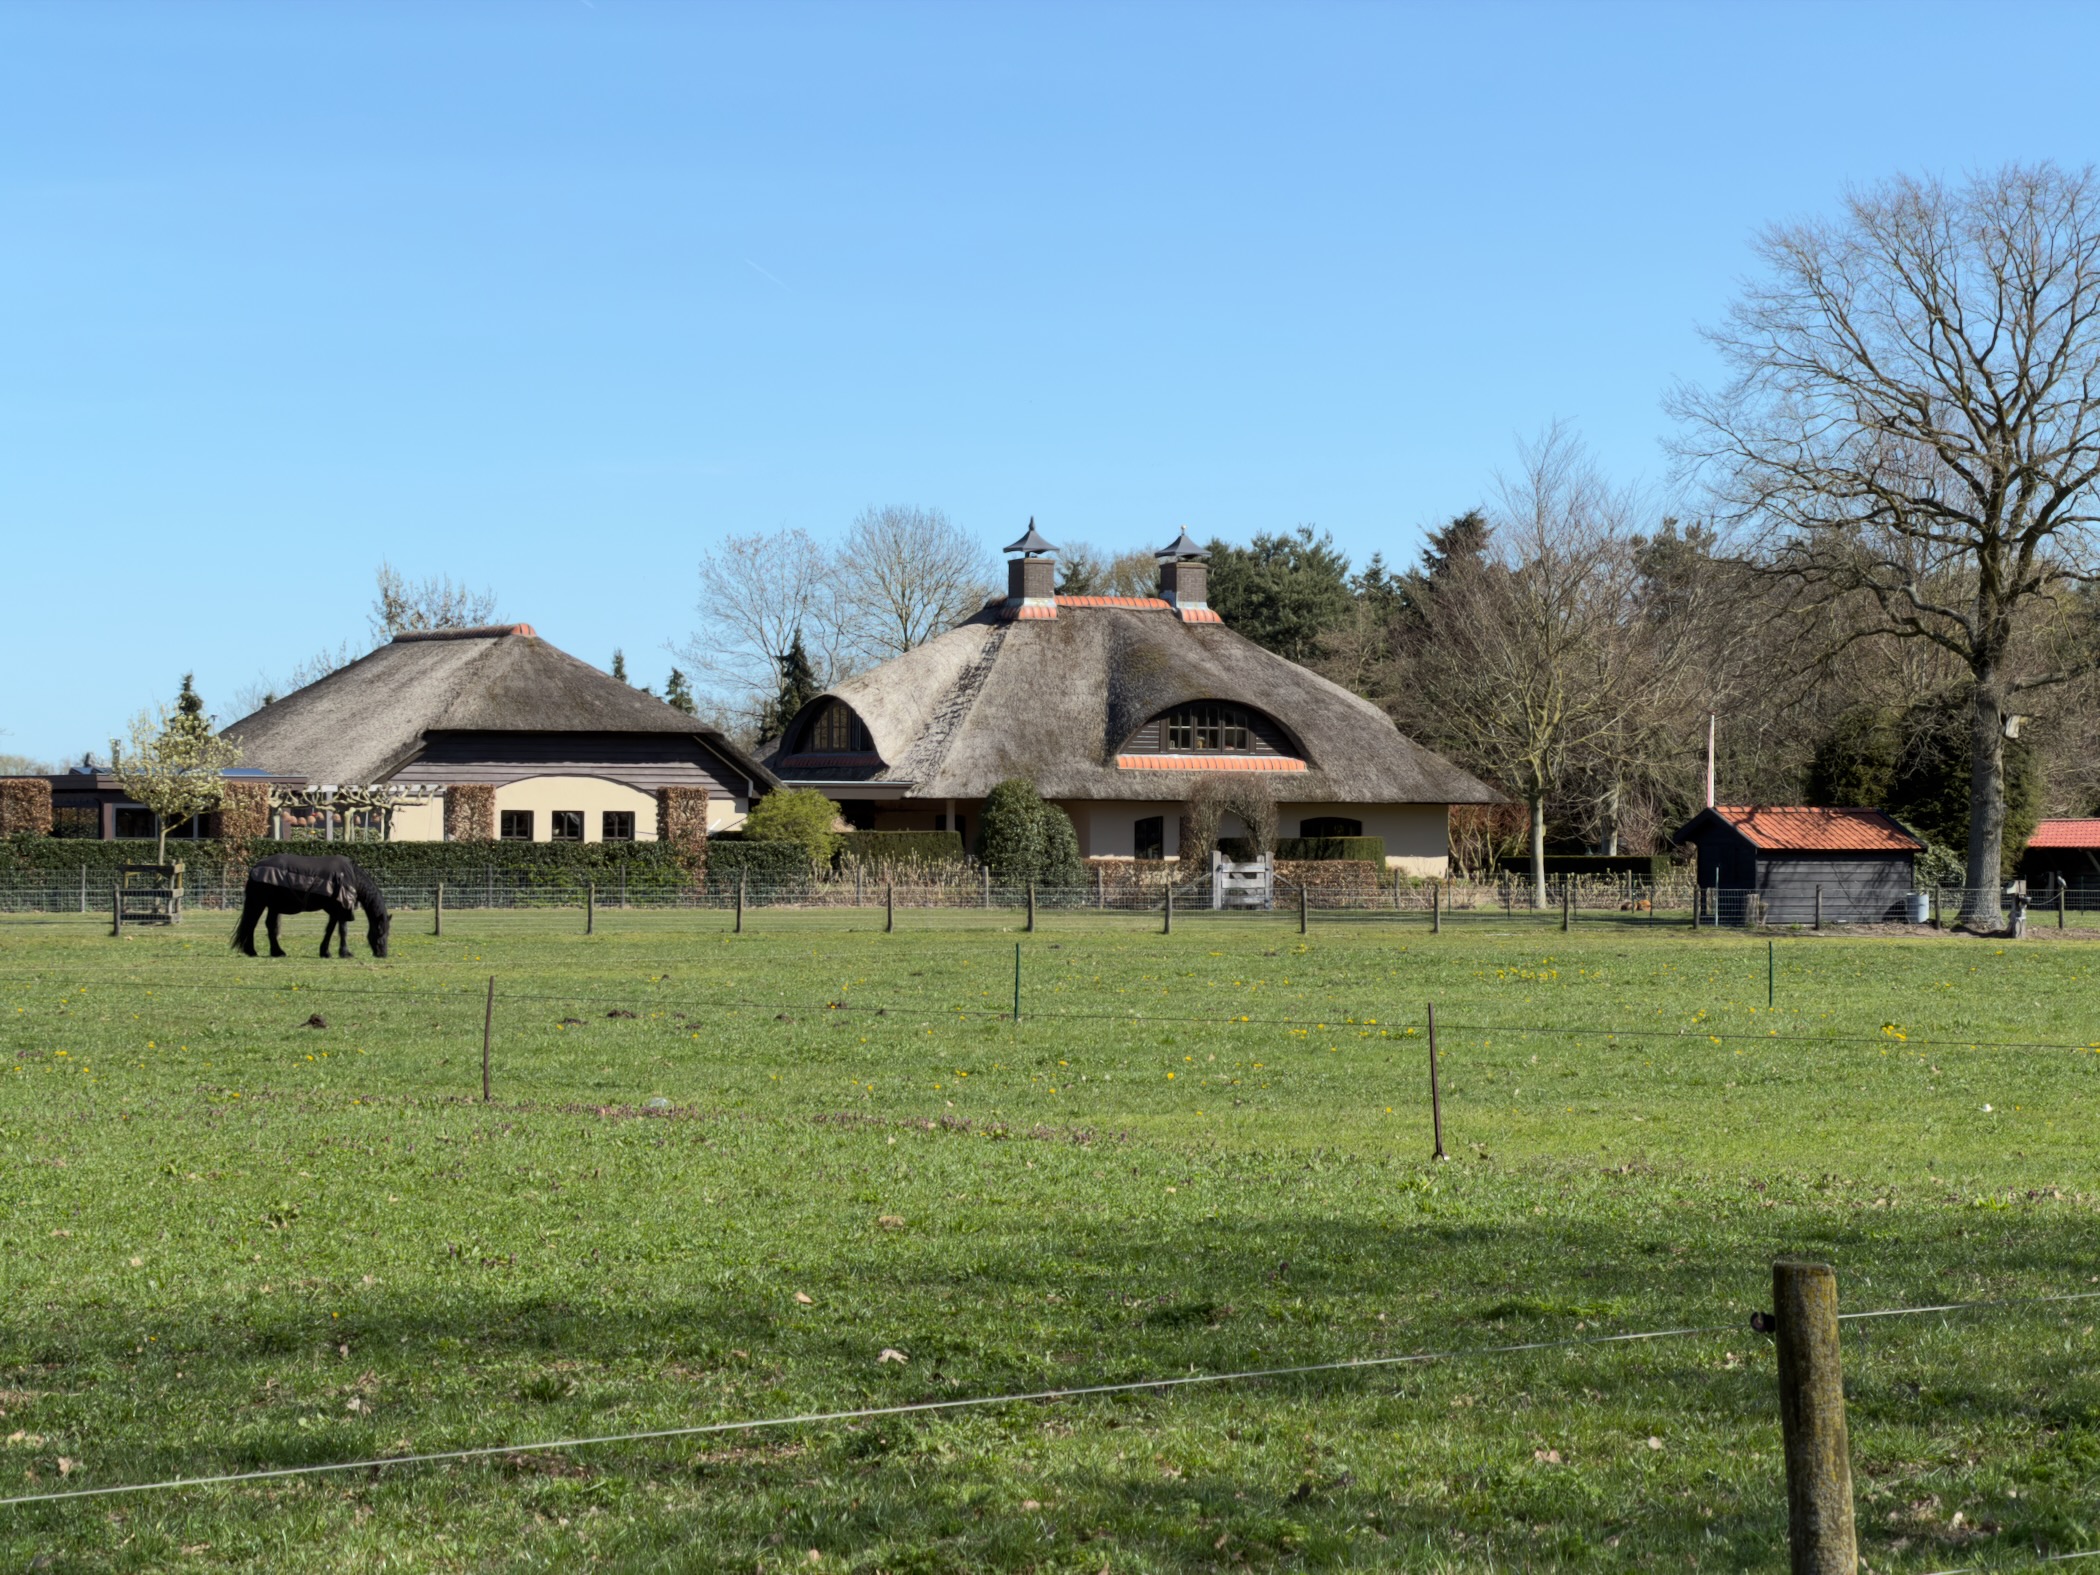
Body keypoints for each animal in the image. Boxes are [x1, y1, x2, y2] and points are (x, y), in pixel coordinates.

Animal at [232, 854, 392, 959]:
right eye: (380, 930)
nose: (383, 954)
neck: (350, 876)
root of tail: (255, 868)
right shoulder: (342, 908)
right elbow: (343, 930)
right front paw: (345, 953)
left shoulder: (335, 910)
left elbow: (330, 930)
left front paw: (325, 952)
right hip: (259, 903)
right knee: (252, 924)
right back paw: (253, 951)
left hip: (273, 906)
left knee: (268, 925)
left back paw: (276, 952)